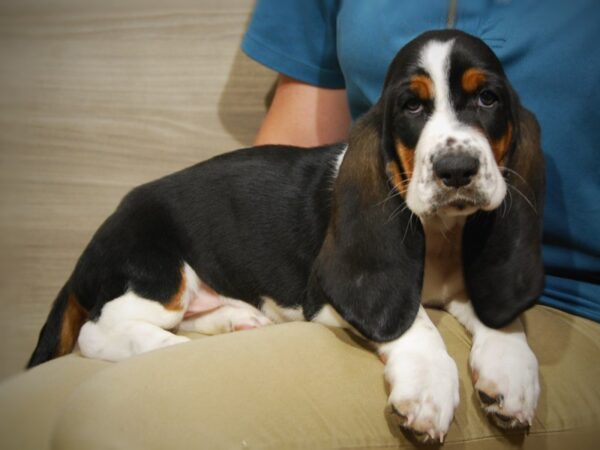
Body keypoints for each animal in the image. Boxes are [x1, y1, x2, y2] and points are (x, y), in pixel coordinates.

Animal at [28, 29, 544, 444]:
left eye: (488, 99)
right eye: (412, 106)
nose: (456, 170)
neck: (439, 231)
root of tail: (91, 247)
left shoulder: (465, 288)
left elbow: (502, 319)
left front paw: (512, 375)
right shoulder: (329, 298)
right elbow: (414, 320)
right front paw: (429, 387)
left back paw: (236, 320)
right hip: (160, 276)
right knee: (98, 332)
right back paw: (171, 349)